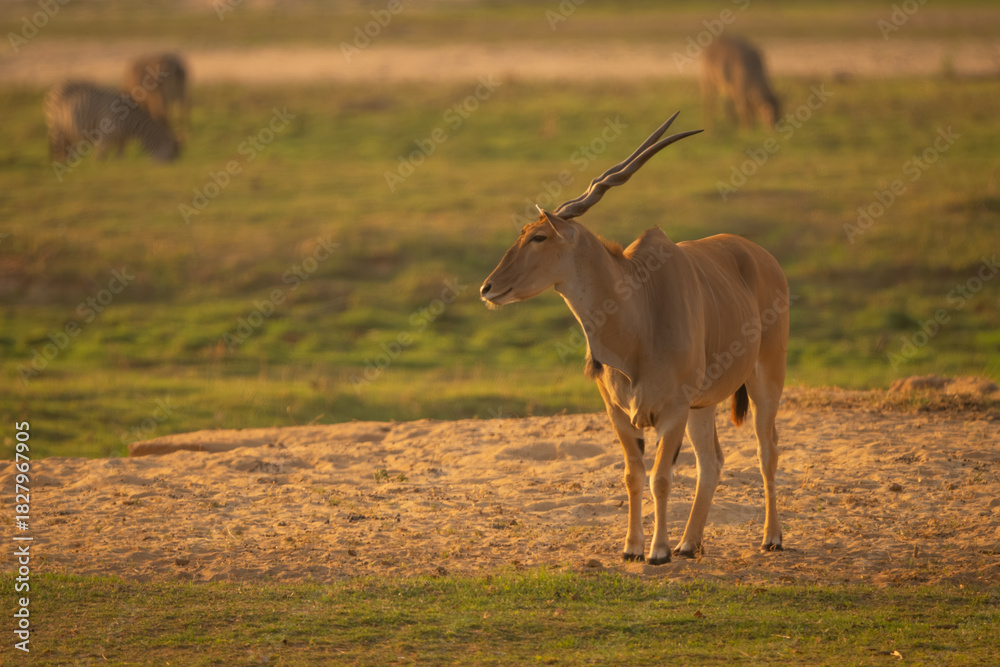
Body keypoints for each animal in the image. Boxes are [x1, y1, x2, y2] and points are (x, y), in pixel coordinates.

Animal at [45, 80, 179, 163]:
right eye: (171, 157)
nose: (173, 169)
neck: (129, 121)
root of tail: (55, 87)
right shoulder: (105, 135)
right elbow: (100, 156)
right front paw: (97, 170)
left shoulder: (122, 138)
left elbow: (119, 157)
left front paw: (118, 169)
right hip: (55, 126)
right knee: (57, 147)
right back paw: (61, 165)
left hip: (67, 129)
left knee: (64, 148)